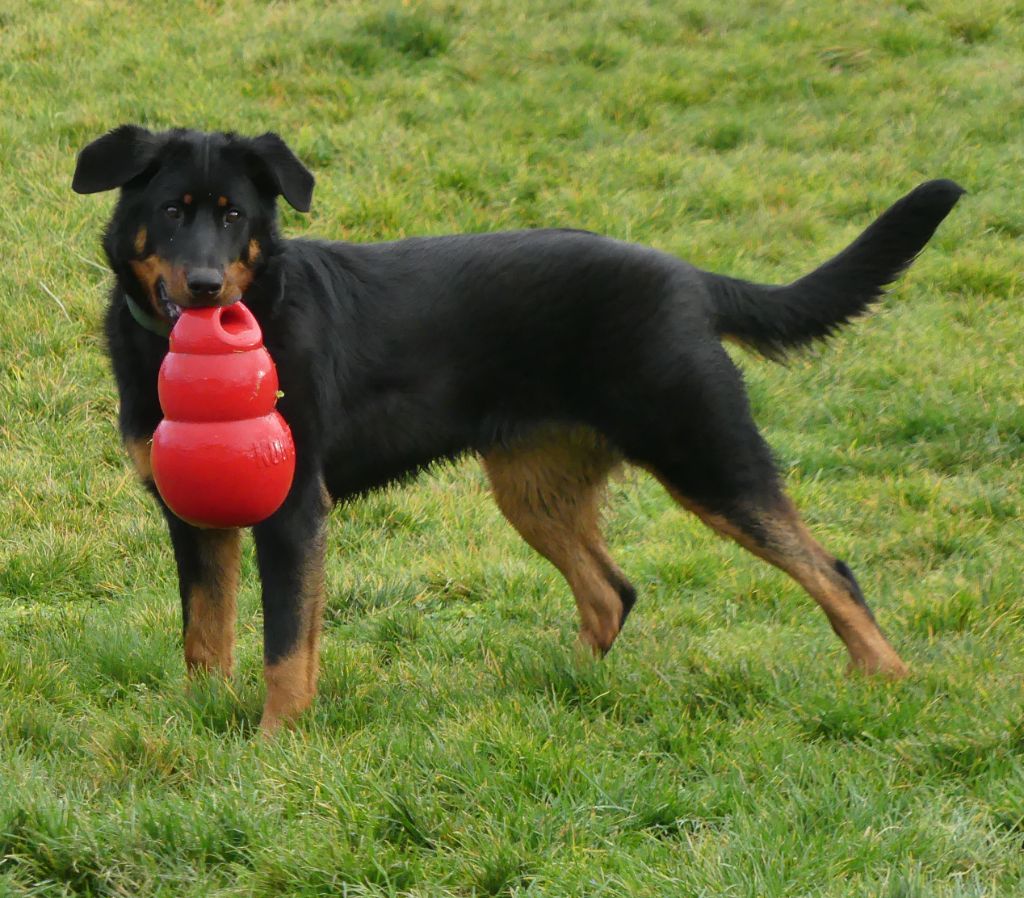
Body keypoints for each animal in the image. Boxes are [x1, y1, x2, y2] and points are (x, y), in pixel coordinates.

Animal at [74, 124, 958, 729]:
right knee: (611, 592)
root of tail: (688, 278)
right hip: (535, 486)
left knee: (829, 569)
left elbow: (286, 646)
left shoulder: (294, 513)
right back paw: (563, 690)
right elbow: (205, 636)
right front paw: (205, 728)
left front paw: (273, 746)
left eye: (233, 216)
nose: (205, 285)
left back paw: (887, 683)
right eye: (172, 211)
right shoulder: (192, 515)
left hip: (703, 452)